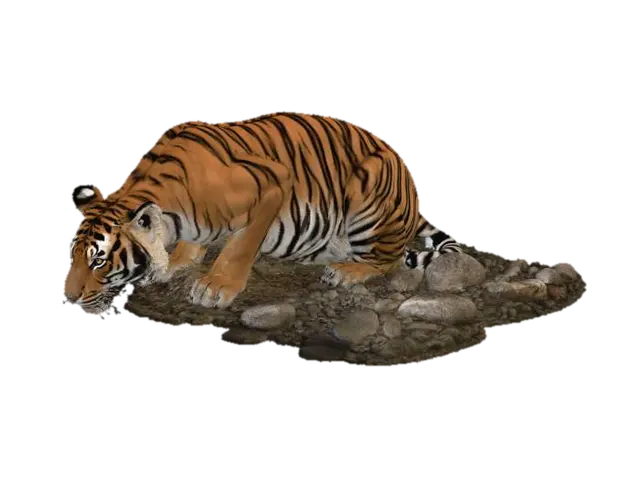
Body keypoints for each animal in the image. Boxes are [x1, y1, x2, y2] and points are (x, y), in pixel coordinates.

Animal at [63, 110, 461, 317]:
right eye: (74, 257)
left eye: (99, 261)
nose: (66, 298)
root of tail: (409, 183)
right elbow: (192, 246)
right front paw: (176, 263)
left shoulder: (272, 185)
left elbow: (239, 248)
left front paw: (215, 287)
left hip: (369, 189)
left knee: (389, 259)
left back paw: (345, 271)